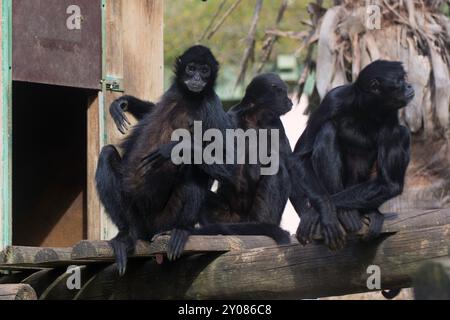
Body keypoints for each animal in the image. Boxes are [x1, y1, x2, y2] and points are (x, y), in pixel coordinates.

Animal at [96, 45, 234, 276]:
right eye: (191, 68)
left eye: (205, 70)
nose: (197, 78)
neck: (188, 97)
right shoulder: (174, 91)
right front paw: (124, 103)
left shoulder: (212, 104)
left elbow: (230, 165)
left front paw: (174, 148)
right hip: (135, 215)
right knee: (106, 153)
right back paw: (125, 236)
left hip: (166, 217)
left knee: (194, 168)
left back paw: (180, 231)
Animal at [142, 74, 294, 258]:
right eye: (284, 93)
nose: (290, 101)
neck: (255, 118)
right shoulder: (231, 117)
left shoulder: (276, 125)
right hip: (226, 214)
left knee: (277, 168)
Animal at [290, 60, 414, 250]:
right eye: (400, 80)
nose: (409, 85)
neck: (365, 110)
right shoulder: (333, 99)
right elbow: (299, 158)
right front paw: (325, 209)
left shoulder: (390, 114)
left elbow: (390, 184)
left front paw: (313, 213)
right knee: (327, 129)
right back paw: (343, 214)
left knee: (402, 133)